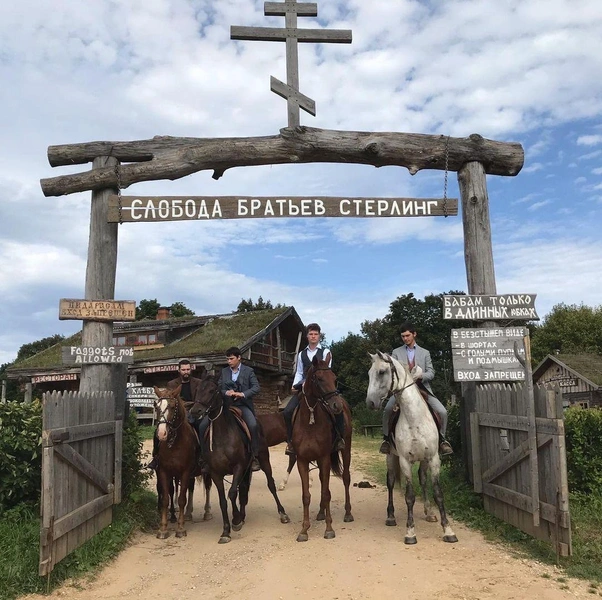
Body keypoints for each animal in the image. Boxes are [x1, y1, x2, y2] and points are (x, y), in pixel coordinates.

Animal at [152, 386, 213, 540]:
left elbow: (181, 499)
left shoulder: (185, 472)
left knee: (208, 486)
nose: (161, 434)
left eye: (172, 407)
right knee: (190, 489)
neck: (174, 444)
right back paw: (188, 513)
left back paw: (207, 512)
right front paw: (163, 529)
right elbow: (166, 499)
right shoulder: (164, 472)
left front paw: (180, 528)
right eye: (157, 407)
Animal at [198, 382, 290, 548]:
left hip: (263, 461)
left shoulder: (238, 467)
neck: (222, 437)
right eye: (198, 389)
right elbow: (223, 500)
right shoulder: (215, 473)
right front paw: (226, 531)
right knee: (244, 490)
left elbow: (232, 493)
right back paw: (242, 515)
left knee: (270, 485)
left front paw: (235, 520)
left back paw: (282, 514)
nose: (196, 410)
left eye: (211, 390)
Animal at [290, 356, 352, 544]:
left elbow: (325, 493)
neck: (310, 419)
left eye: (334, 378)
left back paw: (348, 513)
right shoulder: (302, 460)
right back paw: (320, 513)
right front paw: (304, 530)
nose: (336, 405)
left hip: (346, 449)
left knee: (346, 478)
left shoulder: (325, 458)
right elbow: (306, 495)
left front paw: (329, 529)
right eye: (319, 378)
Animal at [366, 352, 454, 544]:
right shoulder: (405, 461)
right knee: (390, 482)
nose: (370, 403)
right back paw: (391, 516)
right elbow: (409, 496)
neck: (415, 419)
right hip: (391, 457)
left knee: (422, 478)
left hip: (424, 460)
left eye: (382, 372)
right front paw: (410, 532)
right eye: (369, 373)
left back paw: (429, 513)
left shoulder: (434, 458)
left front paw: (448, 530)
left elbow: (438, 493)